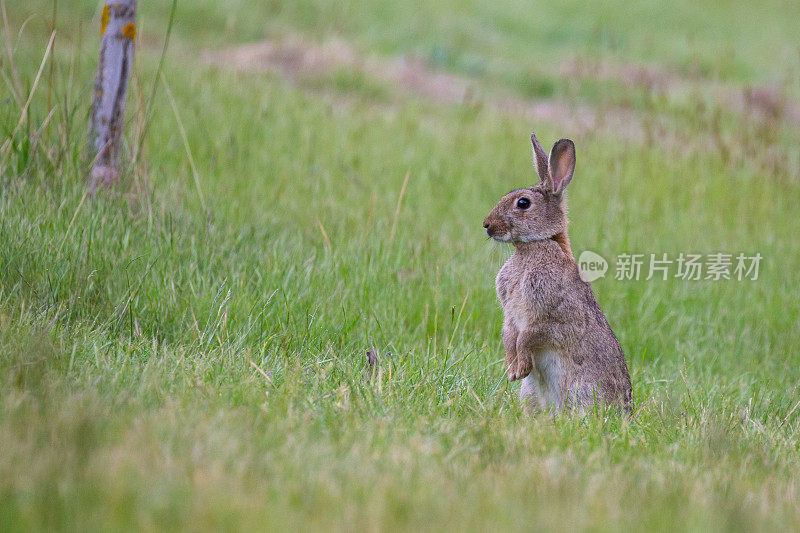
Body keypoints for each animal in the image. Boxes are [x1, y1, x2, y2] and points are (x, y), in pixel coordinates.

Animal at [482, 134, 632, 416]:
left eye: (523, 203)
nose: (486, 225)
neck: (536, 245)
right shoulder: (510, 314)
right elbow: (509, 335)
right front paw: (512, 370)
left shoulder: (551, 316)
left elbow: (527, 337)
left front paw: (519, 368)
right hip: (531, 392)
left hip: (582, 391)